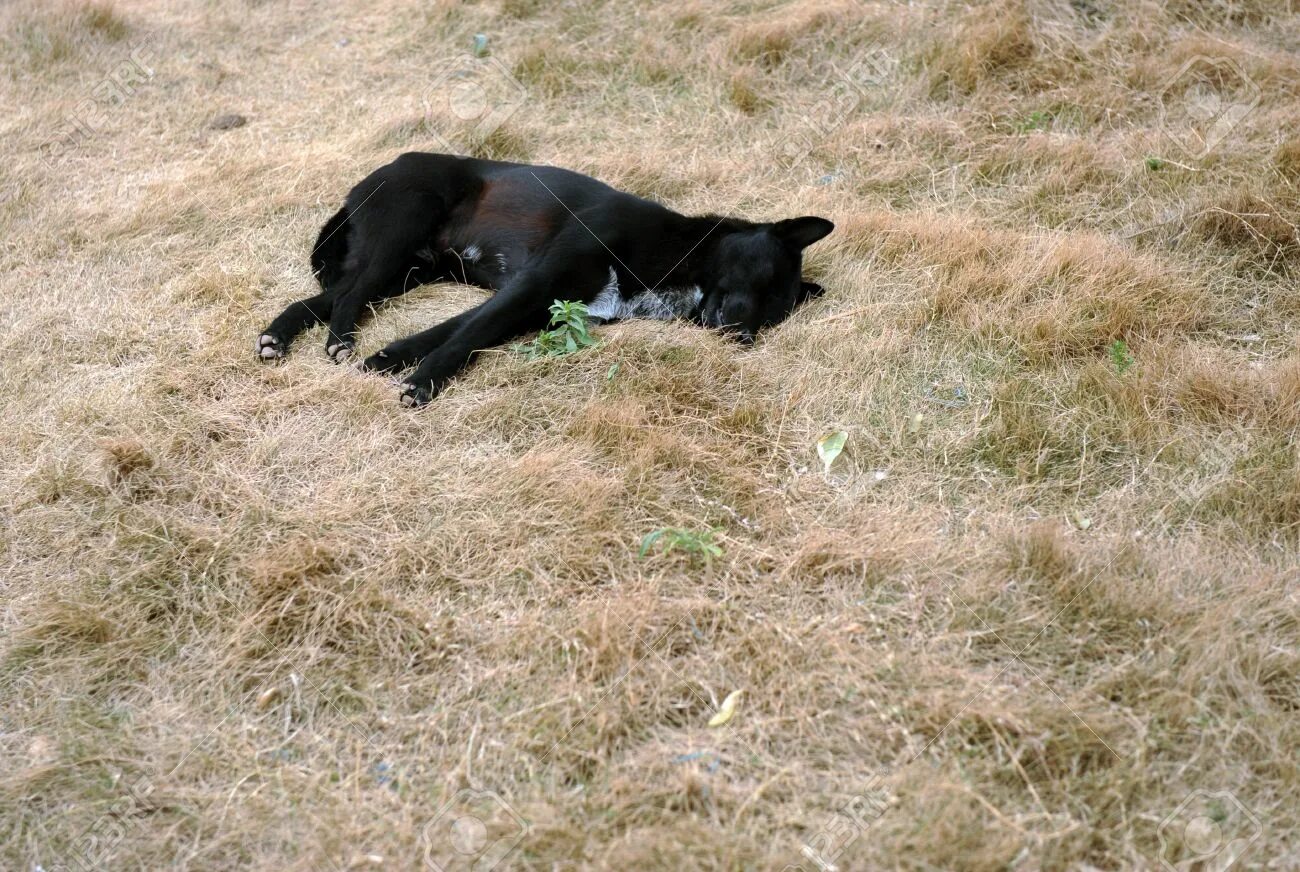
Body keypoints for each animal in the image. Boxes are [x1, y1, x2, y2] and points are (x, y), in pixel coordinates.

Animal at [256, 152, 832, 405]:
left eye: (776, 312)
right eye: (763, 276)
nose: (743, 337)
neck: (680, 253)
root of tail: (382, 168)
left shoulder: (537, 304)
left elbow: (457, 332)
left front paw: (391, 360)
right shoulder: (533, 285)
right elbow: (465, 336)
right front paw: (422, 382)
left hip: (410, 272)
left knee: (320, 299)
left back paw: (277, 337)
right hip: (399, 234)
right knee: (349, 294)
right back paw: (339, 340)